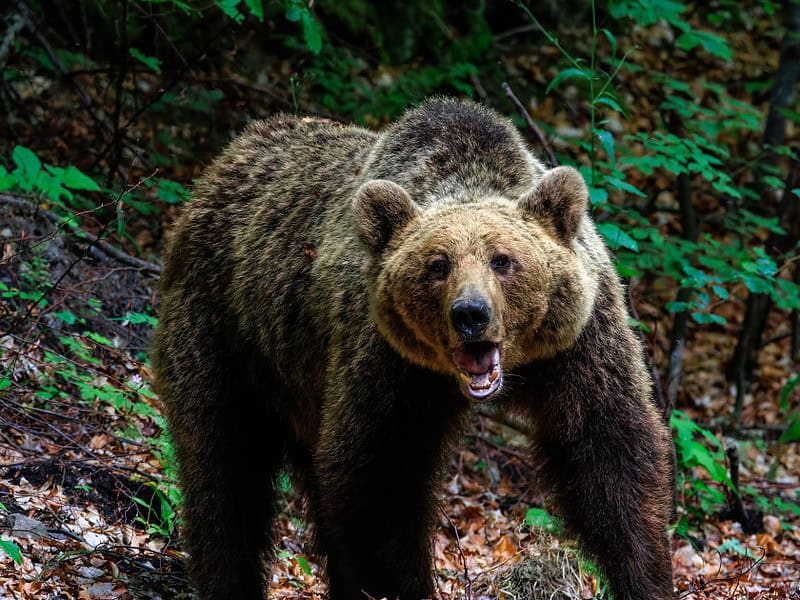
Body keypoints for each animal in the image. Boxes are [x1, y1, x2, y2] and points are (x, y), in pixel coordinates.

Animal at [152, 98, 676, 600]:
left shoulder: (578, 346)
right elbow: (380, 477)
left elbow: (610, 456)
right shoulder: (387, 362)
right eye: (437, 265)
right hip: (225, 333)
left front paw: (645, 577)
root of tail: (225, 159)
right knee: (223, 469)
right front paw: (404, 585)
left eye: (503, 260)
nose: (470, 314)